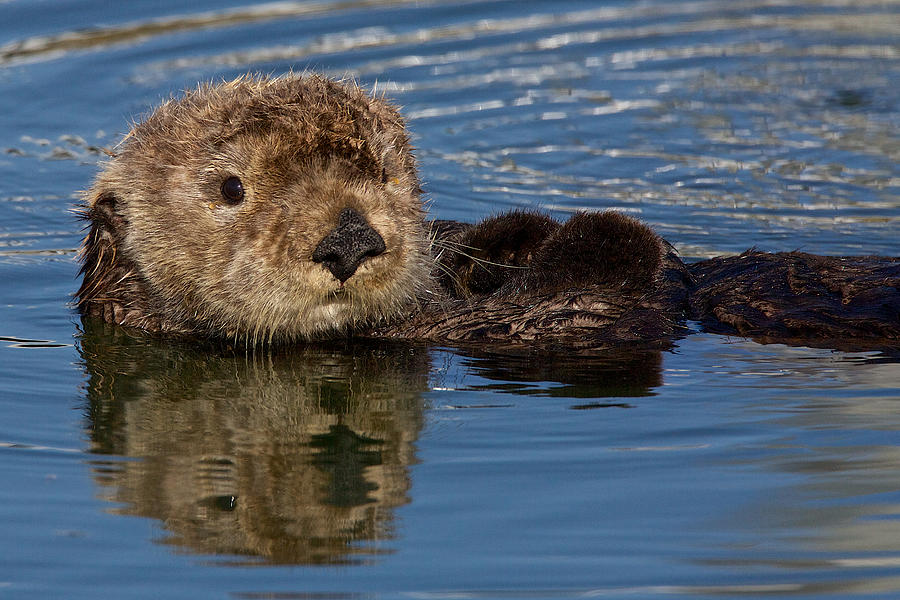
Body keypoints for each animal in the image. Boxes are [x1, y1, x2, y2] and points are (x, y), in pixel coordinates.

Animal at [79, 74, 900, 352]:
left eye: (384, 171)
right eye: (231, 189)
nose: (350, 240)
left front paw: (508, 241)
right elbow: (606, 289)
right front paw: (614, 235)